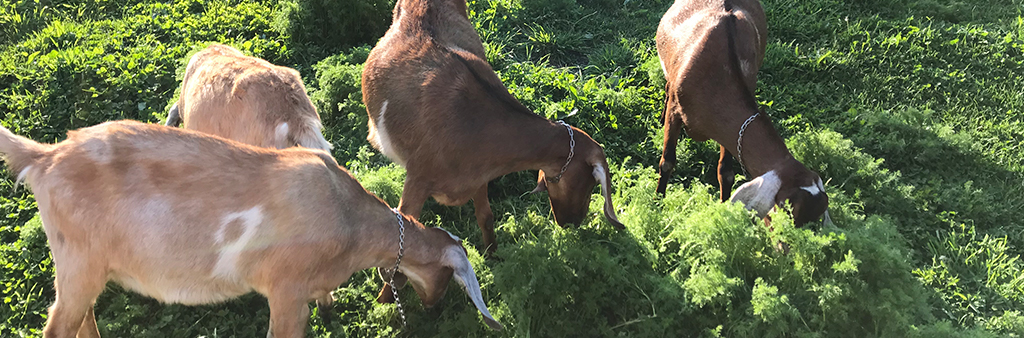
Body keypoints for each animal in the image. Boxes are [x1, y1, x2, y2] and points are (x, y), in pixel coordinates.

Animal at [0, 120, 503, 335]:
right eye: (449, 276)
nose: (434, 308)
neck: (349, 221)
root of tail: (43, 158)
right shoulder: (285, 290)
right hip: (78, 261)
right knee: (59, 325)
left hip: (85, 267)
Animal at [655, 0, 831, 227]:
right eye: (786, 211)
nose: (785, 239)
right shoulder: (676, 112)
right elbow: (667, 162)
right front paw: (657, 203)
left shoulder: (732, 132)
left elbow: (726, 172)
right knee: (668, 85)